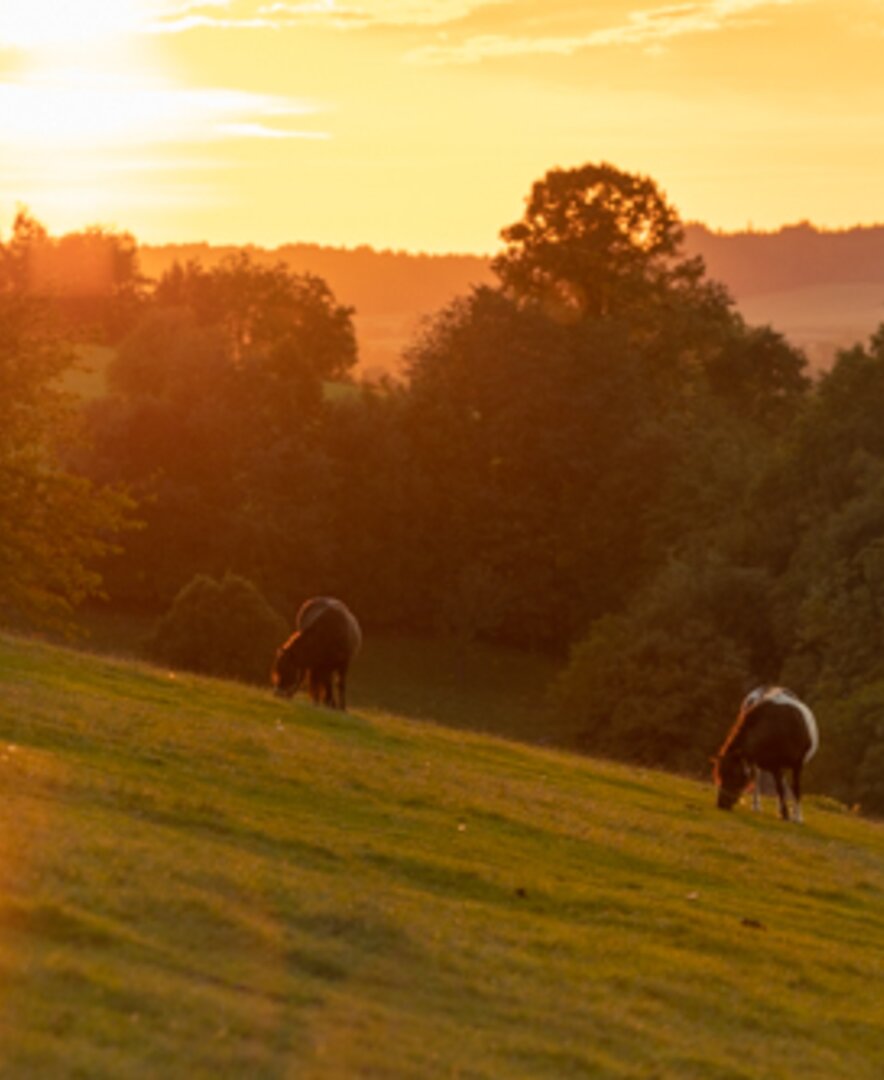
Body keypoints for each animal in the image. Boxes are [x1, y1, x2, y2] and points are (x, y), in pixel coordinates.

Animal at [716, 686, 820, 820]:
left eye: (733, 775)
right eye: (721, 773)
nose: (721, 803)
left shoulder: (797, 764)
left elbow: (795, 787)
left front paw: (797, 817)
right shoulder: (772, 764)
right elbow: (779, 788)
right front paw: (785, 813)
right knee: (758, 779)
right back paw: (757, 806)